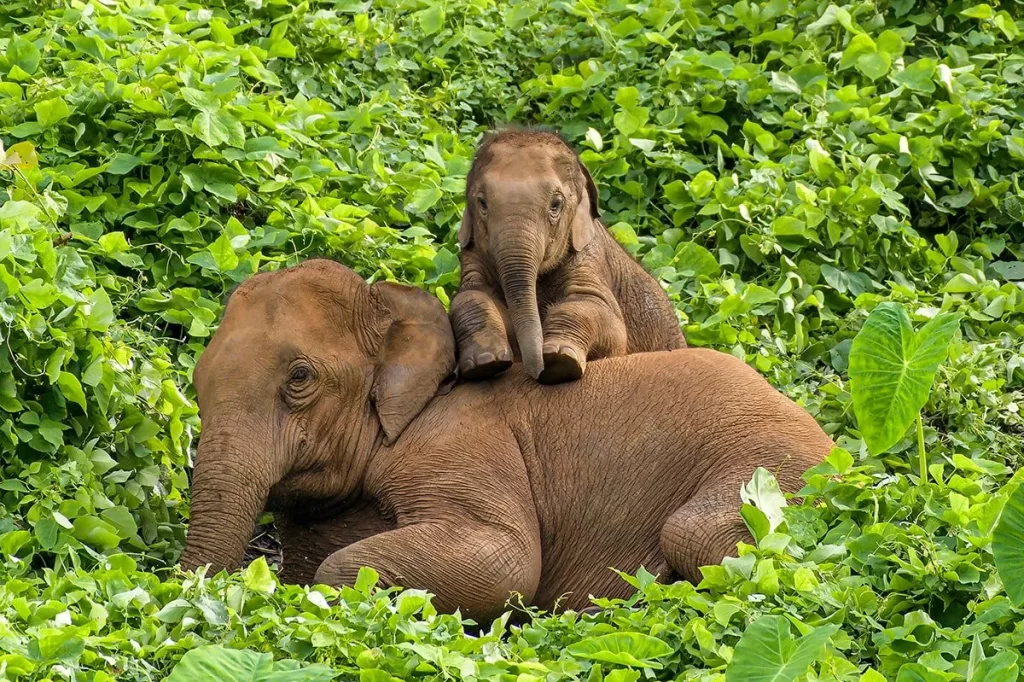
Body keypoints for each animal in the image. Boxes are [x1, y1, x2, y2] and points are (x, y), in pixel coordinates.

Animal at [178, 258, 831, 618]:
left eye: (300, 378)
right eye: (196, 383)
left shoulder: (463, 444)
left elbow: (504, 561)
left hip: (776, 472)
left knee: (692, 532)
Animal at [452, 127, 684, 382]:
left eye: (556, 205)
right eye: (482, 203)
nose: (537, 371)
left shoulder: (590, 258)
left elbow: (605, 318)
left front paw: (560, 360)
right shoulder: (473, 253)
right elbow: (470, 295)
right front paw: (486, 362)